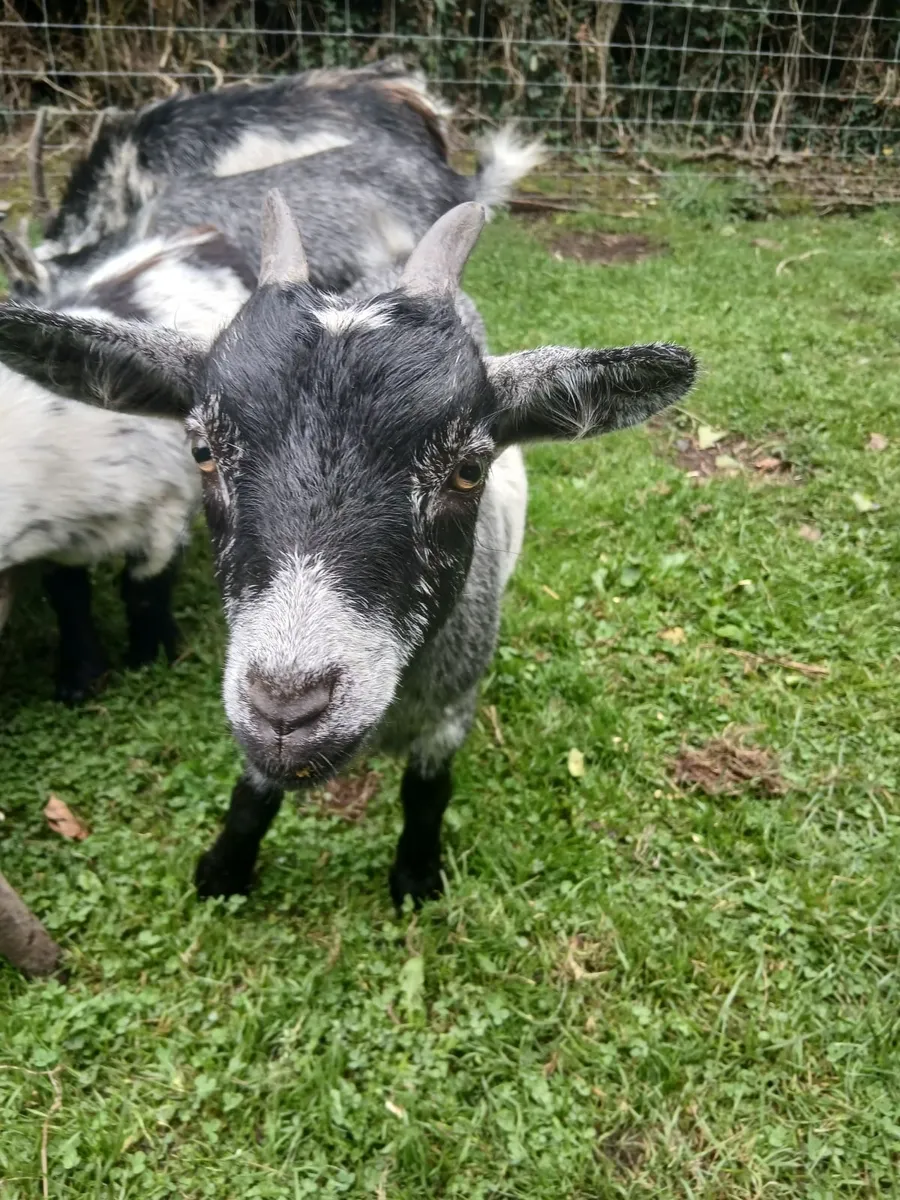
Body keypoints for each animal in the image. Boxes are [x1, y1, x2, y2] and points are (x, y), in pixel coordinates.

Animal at [0, 226, 252, 701]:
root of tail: (205, 234)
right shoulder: (62, 537)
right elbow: (69, 596)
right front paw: (80, 680)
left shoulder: (164, 511)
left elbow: (143, 589)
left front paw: (150, 658)